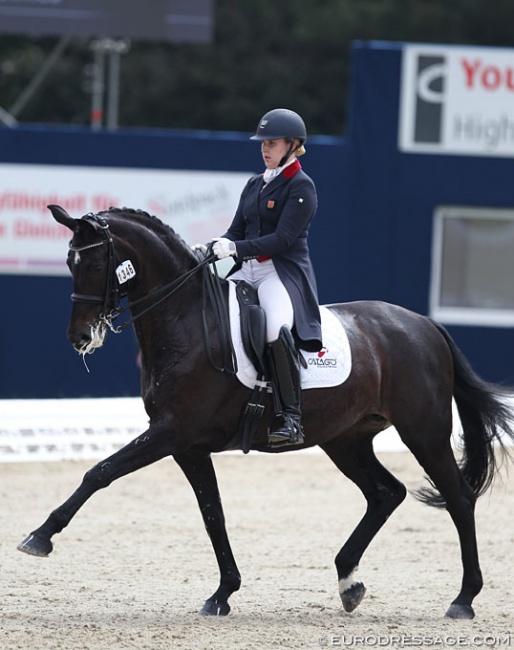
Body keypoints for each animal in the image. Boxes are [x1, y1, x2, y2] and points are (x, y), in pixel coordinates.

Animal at [17, 204, 512, 616]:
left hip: (423, 431)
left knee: (459, 498)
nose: (80, 337)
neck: (187, 320)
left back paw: (463, 599)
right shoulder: (187, 446)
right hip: (346, 439)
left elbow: (99, 472)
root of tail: (425, 324)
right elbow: (212, 514)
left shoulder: (170, 433)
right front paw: (222, 594)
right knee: (385, 493)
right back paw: (349, 582)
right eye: (69, 263)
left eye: (96, 264)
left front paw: (39, 537)